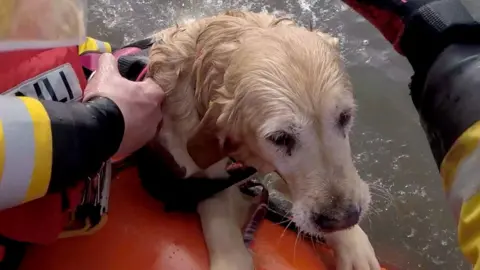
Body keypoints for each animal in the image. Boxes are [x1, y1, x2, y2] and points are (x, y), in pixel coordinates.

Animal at [148, 10, 380, 270]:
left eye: (345, 117)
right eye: (280, 138)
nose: (342, 219)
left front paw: (353, 245)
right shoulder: (198, 176)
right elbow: (219, 217)